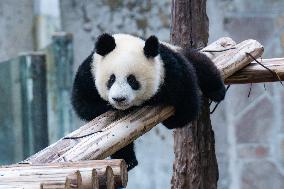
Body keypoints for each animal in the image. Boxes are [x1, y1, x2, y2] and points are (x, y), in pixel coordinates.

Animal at [71, 33, 226, 171]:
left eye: (132, 80)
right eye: (111, 79)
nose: (119, 99)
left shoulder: (169, 69)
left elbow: (188, 102)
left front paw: (171, 120)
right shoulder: (89, 73)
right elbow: (83, 104)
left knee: (202, 64)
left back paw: (217, 91)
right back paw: (128, 161)